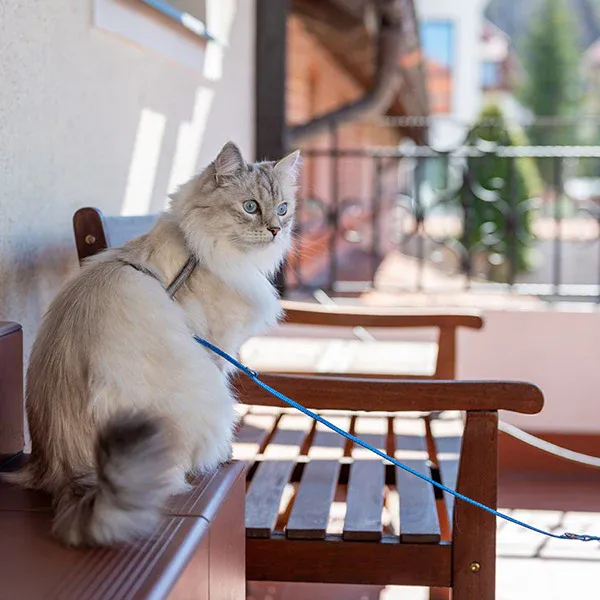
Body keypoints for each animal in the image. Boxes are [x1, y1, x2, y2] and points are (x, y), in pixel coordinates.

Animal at [5, 143, 300, 548]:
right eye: (250, 207)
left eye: (283, 209)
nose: (275, 230)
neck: (199, 252)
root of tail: (67, 473)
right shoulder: (215, 349)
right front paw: (226, 453)